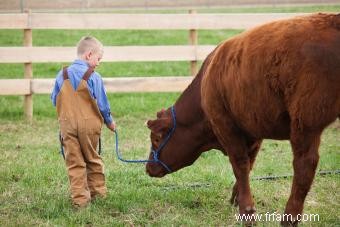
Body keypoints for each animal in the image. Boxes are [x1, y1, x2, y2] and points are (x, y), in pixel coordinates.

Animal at [145, 13, 338, 226]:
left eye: (156, 139)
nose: (148, 167)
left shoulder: (225, 125)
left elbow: (240, 165)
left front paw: (247, 211)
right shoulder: (254, 129)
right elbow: (249, 164)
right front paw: (236, 197)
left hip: (304, 122)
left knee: (304, 166)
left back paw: (289, 218)